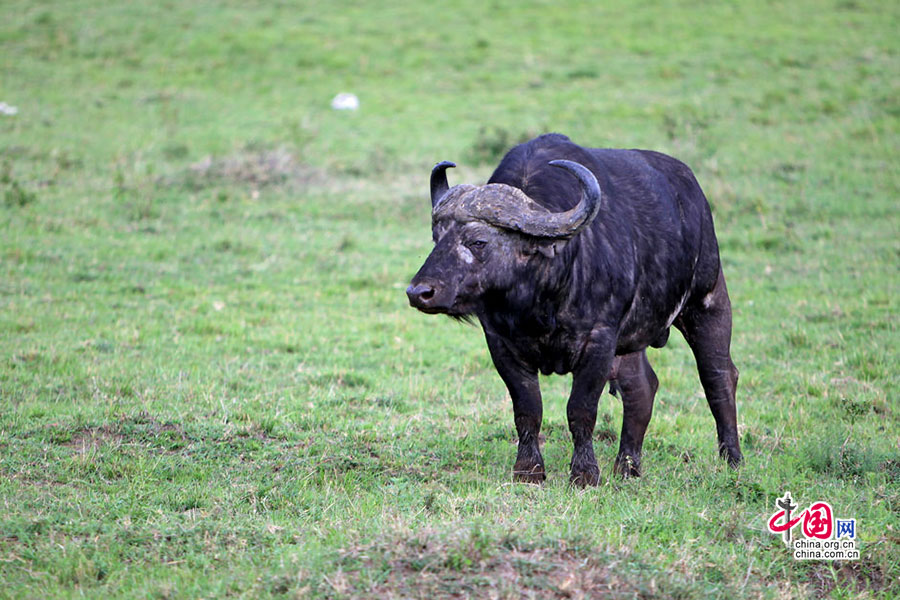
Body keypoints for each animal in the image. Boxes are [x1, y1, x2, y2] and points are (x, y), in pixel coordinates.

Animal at [406, 134, 740, 486]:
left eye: (478, 241)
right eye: (437, 237)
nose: (419, 292)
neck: (539, 302)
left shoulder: (599, 341)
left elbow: (580, 409)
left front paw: (584, 473)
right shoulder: (501, 344)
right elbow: (527, 408)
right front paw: (528, 470)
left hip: (707, 301)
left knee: (718, 376)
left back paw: (732, 460)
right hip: (631, 342)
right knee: (641, 388)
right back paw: (627, 467)